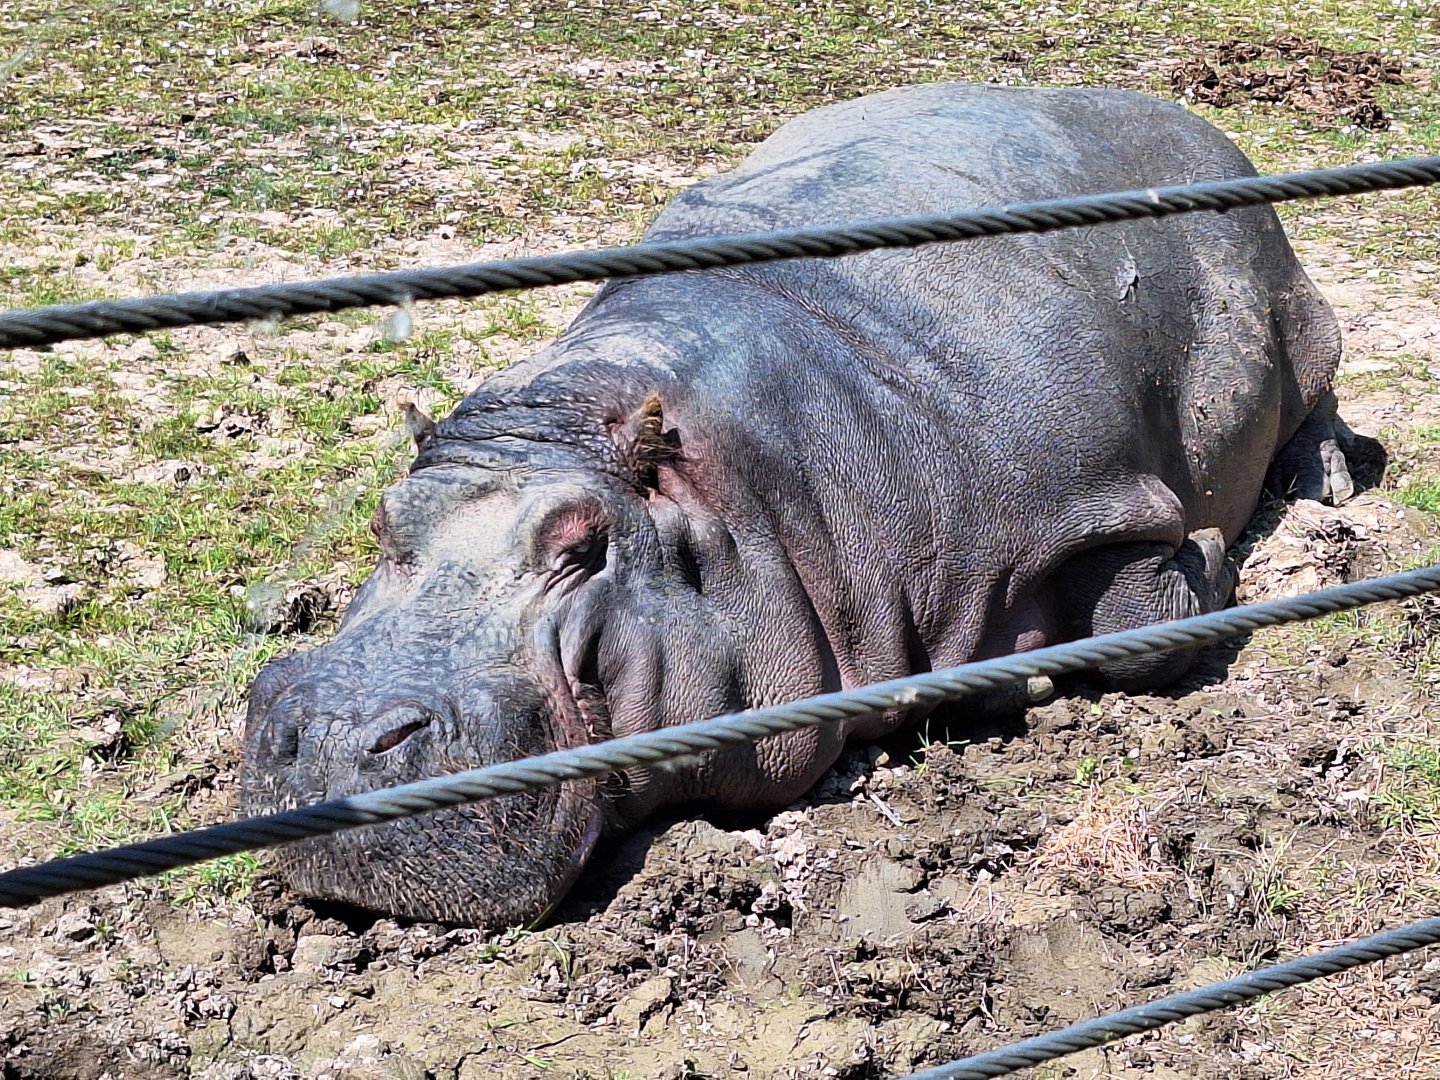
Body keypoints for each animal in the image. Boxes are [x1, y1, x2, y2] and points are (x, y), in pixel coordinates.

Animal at [241, 82, 1350, 927]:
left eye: (583, 547)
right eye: (384, 520)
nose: (333, 734)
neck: (741, 490)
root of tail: (1192, 120)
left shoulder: (1091, 486)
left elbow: (1142, 617)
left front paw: (1191, 562)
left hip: (1302, 316)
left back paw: (1327, 485)